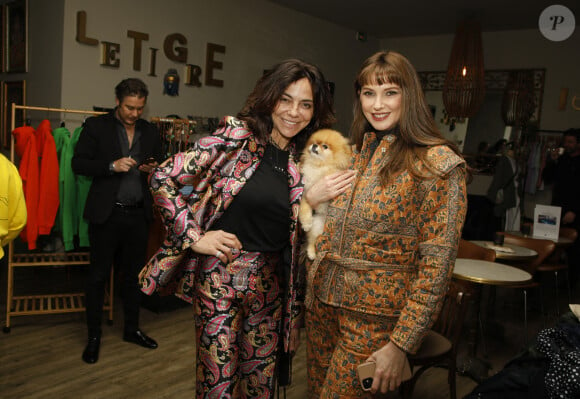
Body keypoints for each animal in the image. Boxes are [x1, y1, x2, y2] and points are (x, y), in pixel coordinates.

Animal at [302, 128, 352, 260]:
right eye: (314, 143)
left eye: (325, 146)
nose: (314, 146)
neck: (318, 166)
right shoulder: (306, 192)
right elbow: (304, 207)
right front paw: (306, 223)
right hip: (317, 225)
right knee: (312, 240)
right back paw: (311, 253)